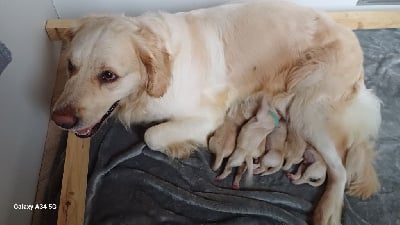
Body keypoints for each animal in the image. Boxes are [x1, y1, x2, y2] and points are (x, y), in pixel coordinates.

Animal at [52, 1, 382, 223]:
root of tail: (352, 39)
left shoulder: (207, 117)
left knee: (340, 169)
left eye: (108, 76)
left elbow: (152, 135)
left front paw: (179, 147)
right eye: (70, 66)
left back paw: (326, 212)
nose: (60, 120)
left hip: (307, 108)